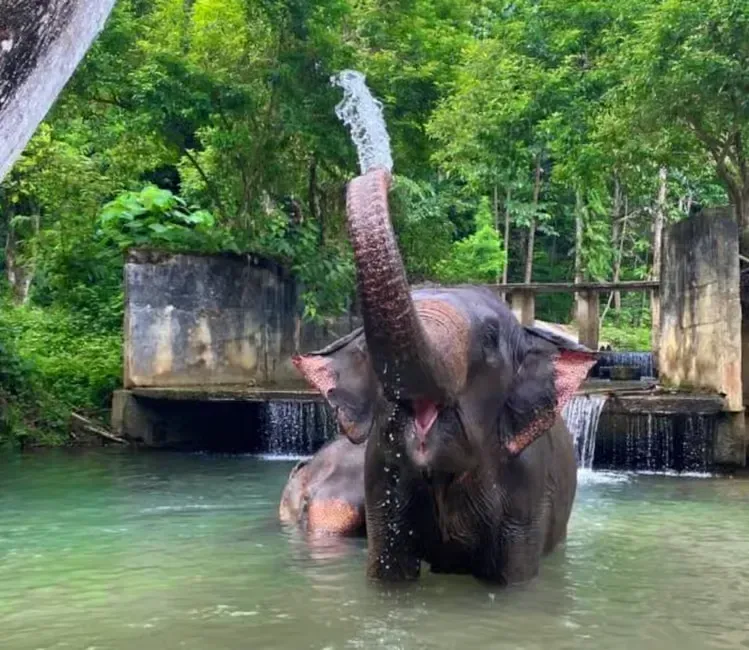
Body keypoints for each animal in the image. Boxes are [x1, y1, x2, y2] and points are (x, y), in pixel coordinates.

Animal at [292, 167, 596, 585]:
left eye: (490, 338)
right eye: (369, 348)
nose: (385, 171)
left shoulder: (527, 491)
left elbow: (512, 577)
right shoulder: (379, 478)